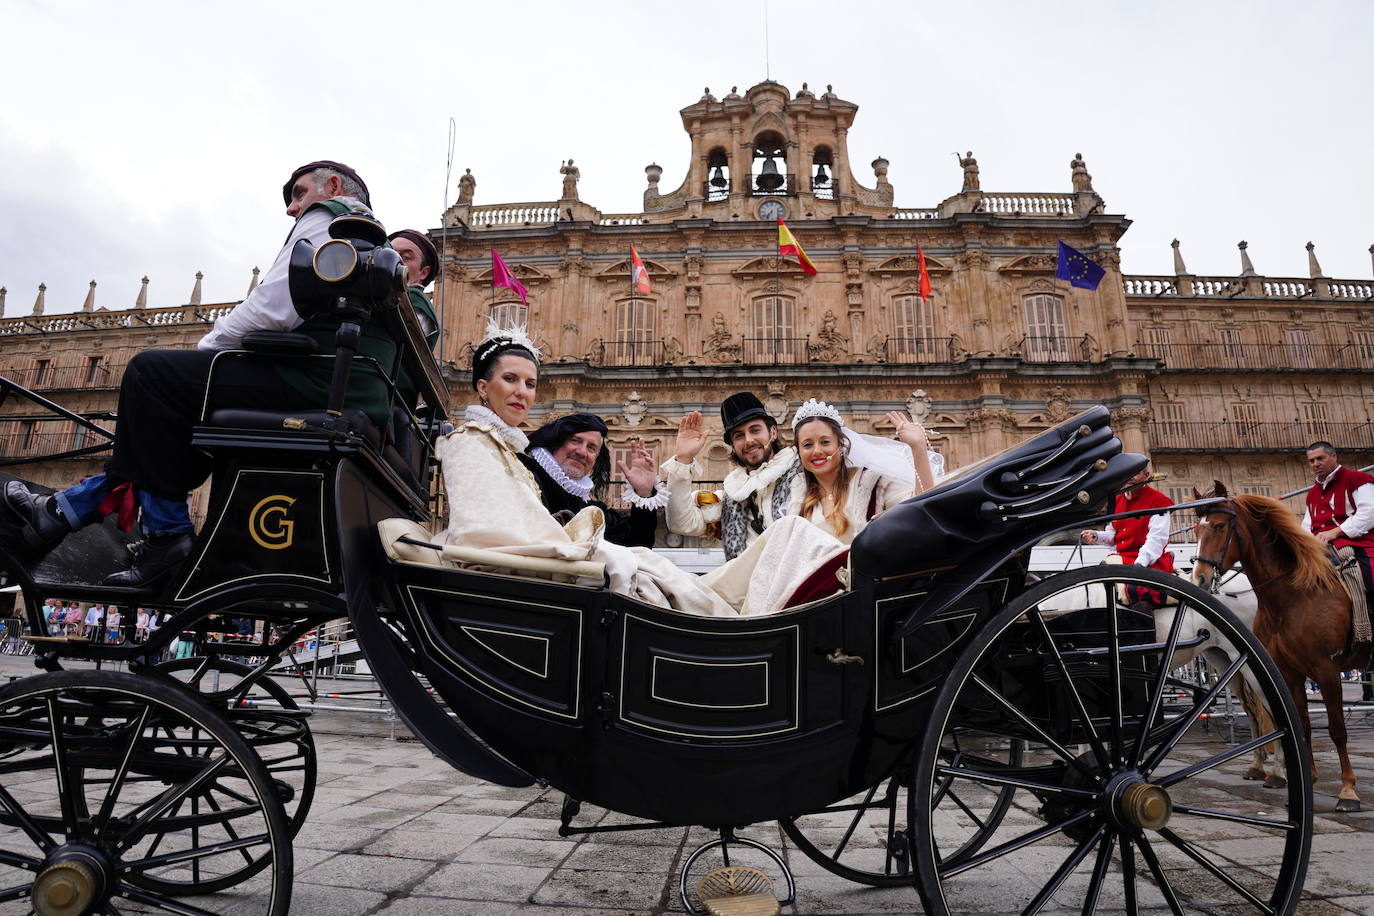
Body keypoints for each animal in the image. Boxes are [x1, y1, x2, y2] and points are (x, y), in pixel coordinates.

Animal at [1192, 483, 1363, 813]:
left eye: (1219, 526)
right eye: (1196, 529)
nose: (1201, 579)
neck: (1293, 594)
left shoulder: (1326, 668)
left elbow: (1336, 728)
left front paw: (1348, 791)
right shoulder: (1289, 671)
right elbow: (1302, 725)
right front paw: (1308, 780)